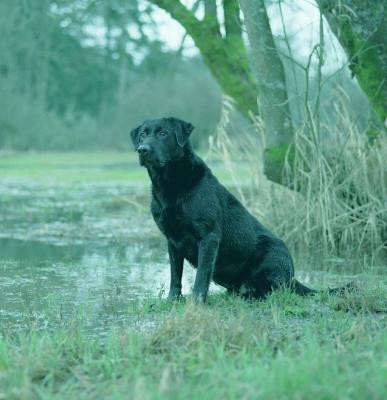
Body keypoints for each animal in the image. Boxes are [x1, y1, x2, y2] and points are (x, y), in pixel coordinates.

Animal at [130, 117, 348, 302]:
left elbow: (201, 275)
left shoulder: (208, 237)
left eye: (163, 133)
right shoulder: (172, 241)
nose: (143, 149)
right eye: (142, 135)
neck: (170, 186)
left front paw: (197, 302)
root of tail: (292, 277)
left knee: (275, 291)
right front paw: (173, 300)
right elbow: (175, 274)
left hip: (270, 254)